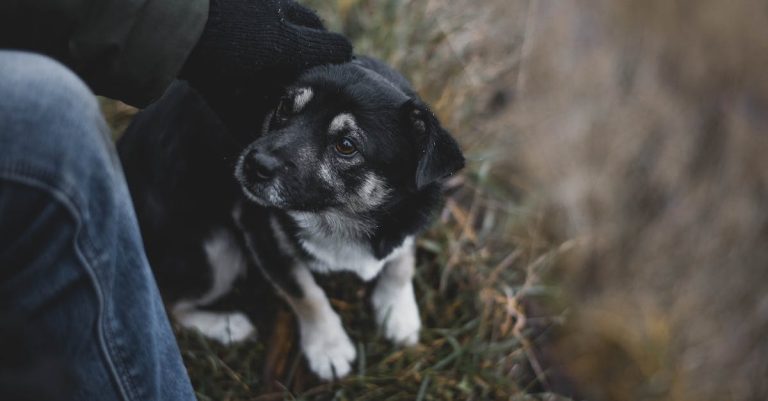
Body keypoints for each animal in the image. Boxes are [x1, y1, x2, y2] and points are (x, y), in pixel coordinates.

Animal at [118, 56, 464, 378]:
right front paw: (328, 346)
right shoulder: (263, 234)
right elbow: (305, 292)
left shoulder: (409, 221)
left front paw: (398, 312)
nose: (254, 163)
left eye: (346, 145)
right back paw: (226, 326)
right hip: (218, 254)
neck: (342, 215)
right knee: (167, 306)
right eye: (285, 107)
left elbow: (402, 260)